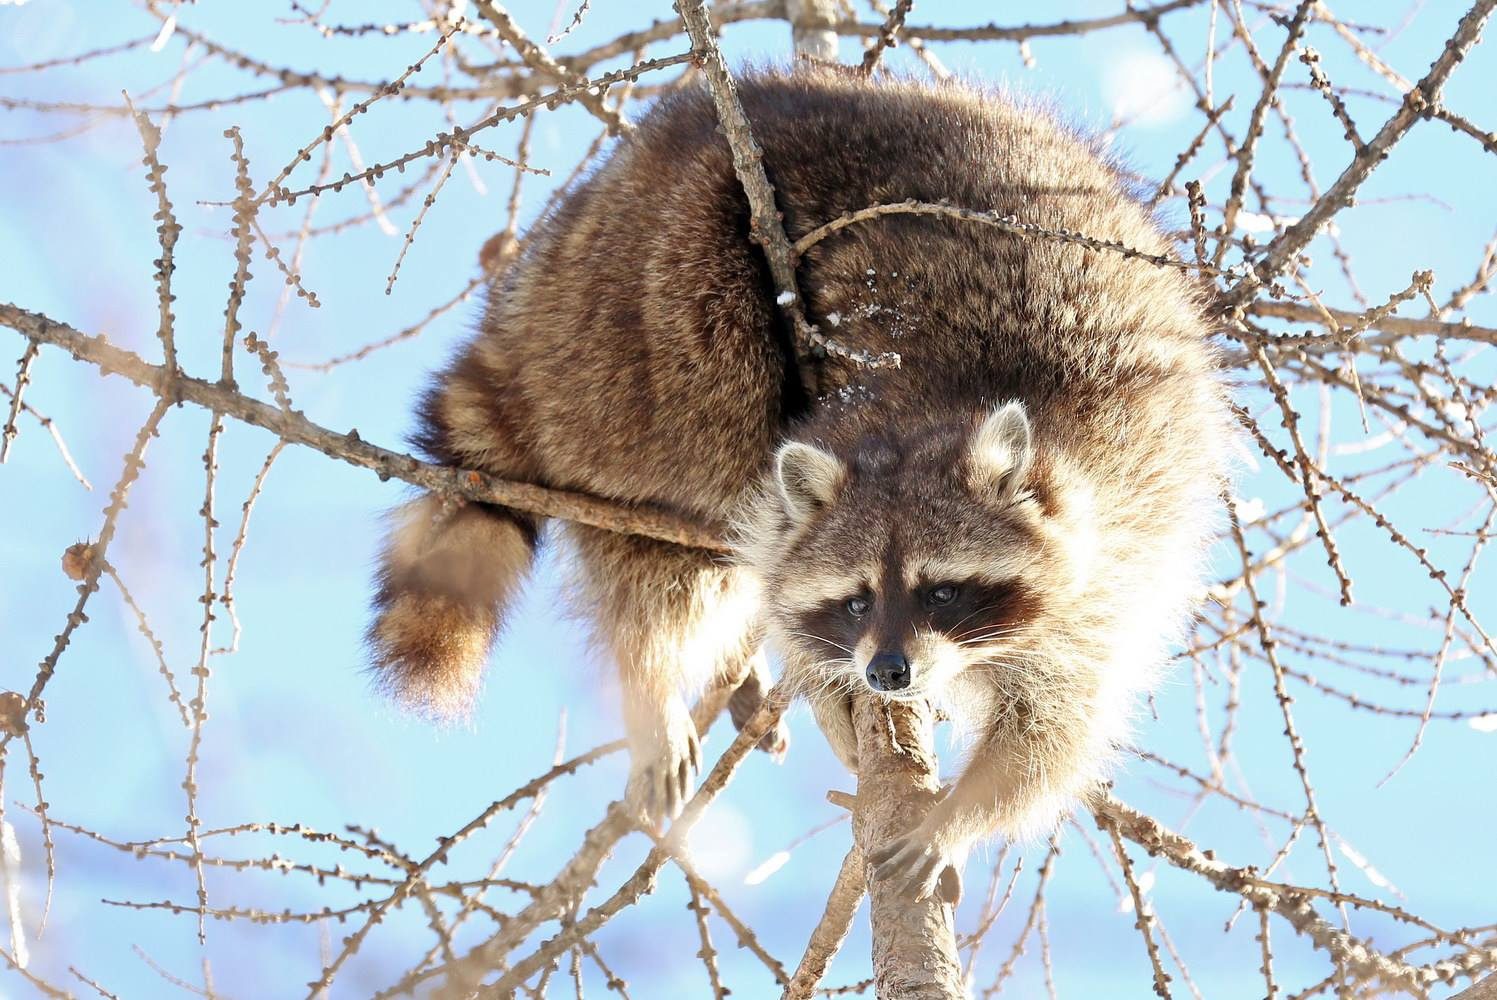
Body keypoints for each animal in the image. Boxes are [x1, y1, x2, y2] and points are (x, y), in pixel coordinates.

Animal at [365, 70, 1227, 898]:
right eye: (854, 601)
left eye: (942, 590)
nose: (886, 673)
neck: (928, 412)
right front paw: (825, 688)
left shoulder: (1125, 531)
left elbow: (1056, 722)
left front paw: (960, 816)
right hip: (649, 292)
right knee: (697, 463)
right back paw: (649, 664)